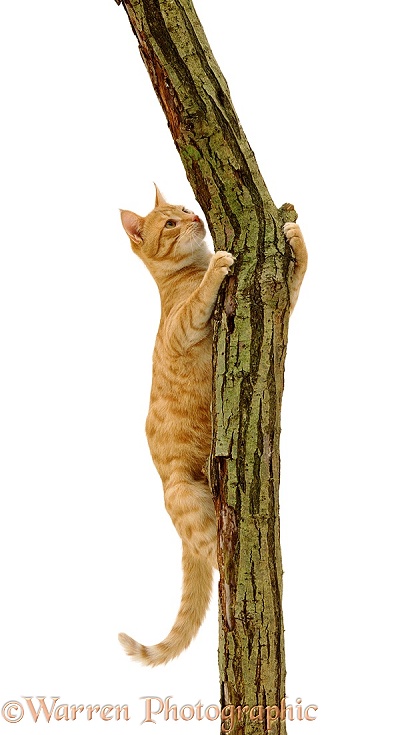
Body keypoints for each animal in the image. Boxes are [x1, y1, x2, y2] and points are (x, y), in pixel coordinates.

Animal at [117, 185, 306, 668]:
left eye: (184, 207)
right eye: (169, 223)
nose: (193, 218)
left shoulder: (283, 301)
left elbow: (297, 276)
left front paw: (296, 238)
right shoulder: (181, 325)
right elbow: (201, 297)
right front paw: (218, 267)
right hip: (187, 496)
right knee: (218, 558)